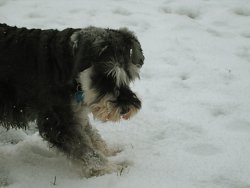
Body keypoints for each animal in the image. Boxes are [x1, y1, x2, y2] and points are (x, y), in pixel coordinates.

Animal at [0, 23, 144, 176]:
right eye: (104, 77)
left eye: (129, 76)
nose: (126, 109)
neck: (64, 65)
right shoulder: (58, 121)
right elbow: (85, 149)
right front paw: (112, 168)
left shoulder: (74, 111)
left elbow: (91, 134)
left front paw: (110, 151)